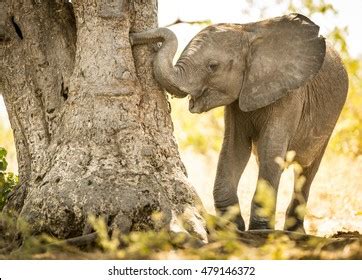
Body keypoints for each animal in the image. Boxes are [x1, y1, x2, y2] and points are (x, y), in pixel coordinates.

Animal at [130, 12, 348, 232]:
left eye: (213, 66)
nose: (131, 36)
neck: (247, 31)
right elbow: (234, 147)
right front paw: (232, 227)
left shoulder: (290, 95)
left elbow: (271, 149)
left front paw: (260, 229)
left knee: (307, 171)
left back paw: (294, 230)